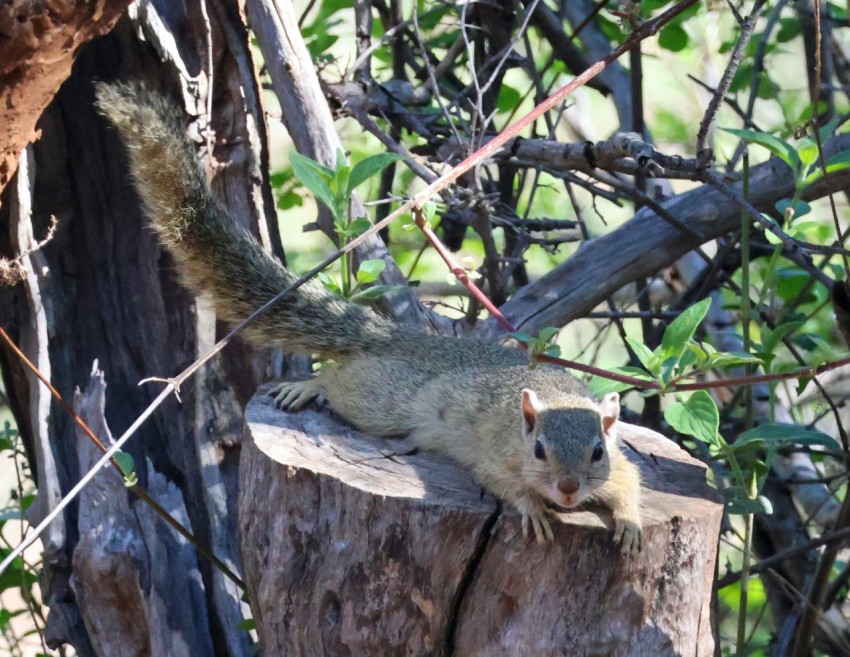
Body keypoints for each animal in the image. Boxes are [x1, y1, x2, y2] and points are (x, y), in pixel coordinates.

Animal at [94, 81, 643, 556]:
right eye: (539, 451)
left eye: (598, 451)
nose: (568, 489)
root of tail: (400, 338)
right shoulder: (496, 456)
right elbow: (502, 482)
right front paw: (532, 508)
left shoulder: (618, 466)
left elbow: (631, 481)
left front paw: (632, 522)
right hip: (382, 399)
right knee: (342, 381)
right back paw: (308, 387)